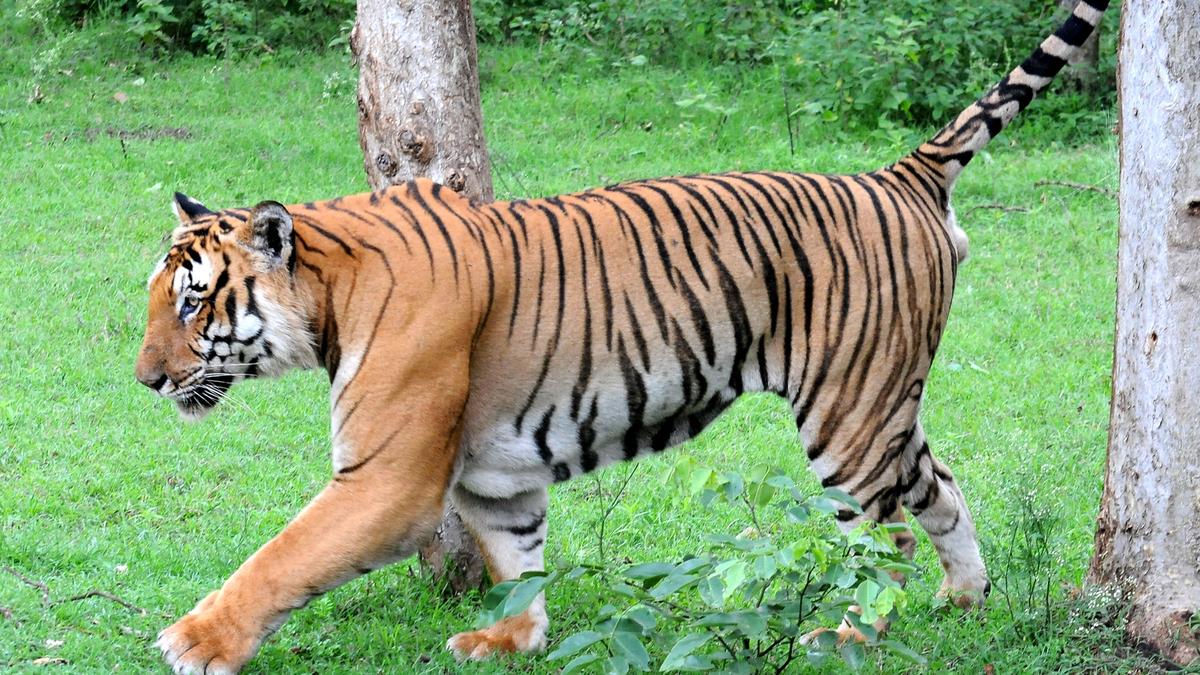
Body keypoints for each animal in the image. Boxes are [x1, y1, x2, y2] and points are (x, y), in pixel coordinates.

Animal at [135, 1, 1109, 672]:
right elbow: (519, 553)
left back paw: (848, 634)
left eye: (190, 304)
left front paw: (195, 639)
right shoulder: (495, 474)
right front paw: (511, 638)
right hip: (883, 399)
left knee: (885, 535)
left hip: (847, 414)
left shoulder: (387, 477)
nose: (145, 381)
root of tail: (897, 175)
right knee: (939, 486)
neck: (331, 290)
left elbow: (283, 556)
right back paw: (964, 596)